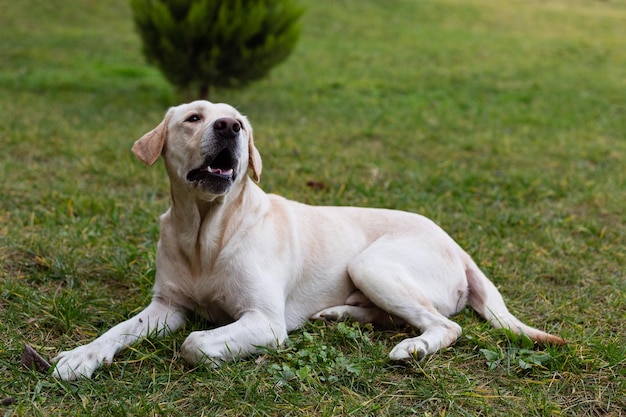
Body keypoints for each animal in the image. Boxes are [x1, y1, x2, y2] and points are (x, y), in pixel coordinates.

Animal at [52, 101, 560, 380]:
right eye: (194, 118)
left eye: (238, 122)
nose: (229, 128)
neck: (206, 234)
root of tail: (457, 245)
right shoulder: (166, 307)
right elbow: (117, 332)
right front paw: (79, 358)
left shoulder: (265, 321)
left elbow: (196, 343)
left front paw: (222, 356)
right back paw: (340, 314)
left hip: (371, 264)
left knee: (444, 326)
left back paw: (410, 349)